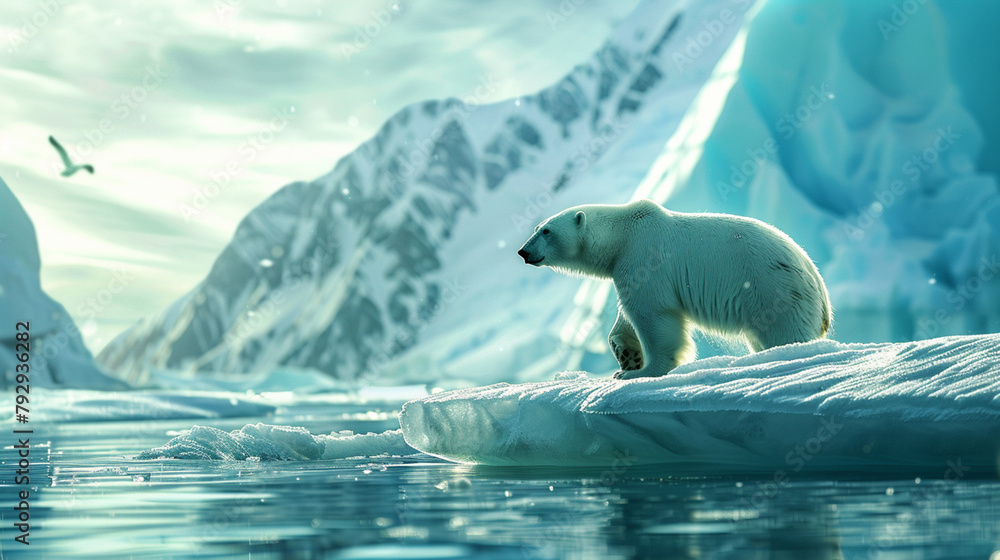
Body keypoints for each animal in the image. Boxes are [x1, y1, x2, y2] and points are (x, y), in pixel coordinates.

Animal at [517, 199, 831, 379]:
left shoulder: (644, 258)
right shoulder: (627, 264)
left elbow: (653, 315)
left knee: (786, 332)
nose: (523, 251)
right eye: (537, 227)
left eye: (546, 231)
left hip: (775, 292)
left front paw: (640, 373)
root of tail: (818, 283)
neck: (622, 236)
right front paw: (627, 356)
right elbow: (627, 314)